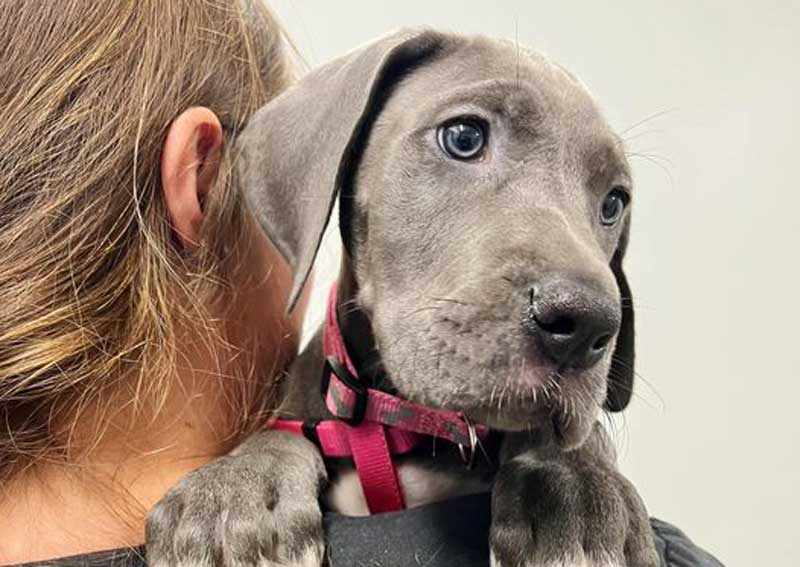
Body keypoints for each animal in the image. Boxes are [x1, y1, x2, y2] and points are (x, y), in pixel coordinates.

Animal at [147, 30, 660, 567]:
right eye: (464, 137)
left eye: (613, 203)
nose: (586, 326)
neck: (396, 425)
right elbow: (280, 433)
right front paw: (233, 492)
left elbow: (562, 440)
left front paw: (574, 488)